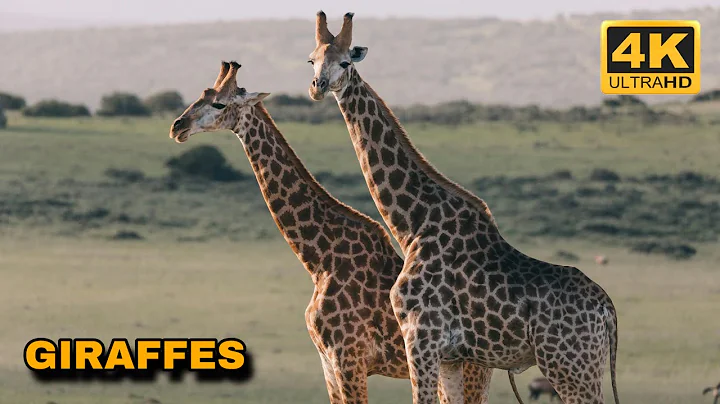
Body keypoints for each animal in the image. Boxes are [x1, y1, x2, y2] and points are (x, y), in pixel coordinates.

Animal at [168, 61, 495, 403]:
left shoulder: (348, 358)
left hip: (469, 370)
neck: (319, 260)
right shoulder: (327, 362)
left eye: (219, 103)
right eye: (202, 94)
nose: (178, 127)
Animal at [306, 11, 621, 404]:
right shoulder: (452, 357)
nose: (317, 86)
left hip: (571, 366)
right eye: (312, 59)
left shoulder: (421, 338)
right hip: (582, 367)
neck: (413, 224)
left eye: (346, 61)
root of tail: (607, 310)